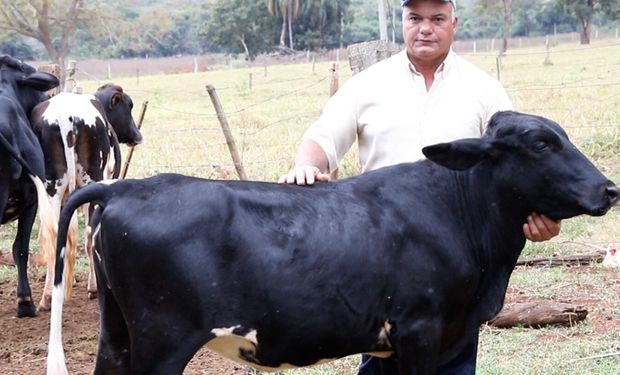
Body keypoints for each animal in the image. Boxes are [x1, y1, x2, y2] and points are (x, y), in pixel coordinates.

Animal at [30, 83, 143, 310]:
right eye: (129, 105)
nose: (138, 135)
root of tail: (66, 117)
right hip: (91, 181)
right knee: (89, 234)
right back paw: (92, 287)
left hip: (51, 189)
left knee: (52, 235)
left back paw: (47, 297)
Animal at [44, 112, 620, 375]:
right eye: (541, 143)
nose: (609, 189)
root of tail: (126, 186)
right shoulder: (421, 329)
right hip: (160, 341)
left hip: (117, 335)